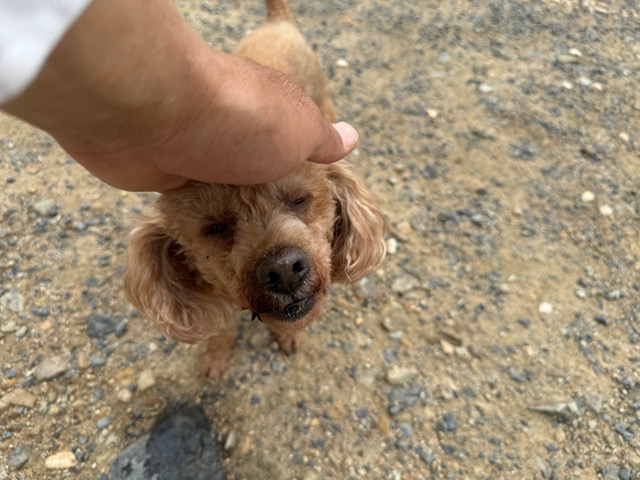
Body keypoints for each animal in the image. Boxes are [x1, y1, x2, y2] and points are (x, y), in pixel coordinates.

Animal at [124, 0, 386, 377]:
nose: (283, 270)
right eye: (215, 228)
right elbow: (221, 329)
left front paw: (290, 338)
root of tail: (278, 21)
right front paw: (215, 358)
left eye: (299, 200)